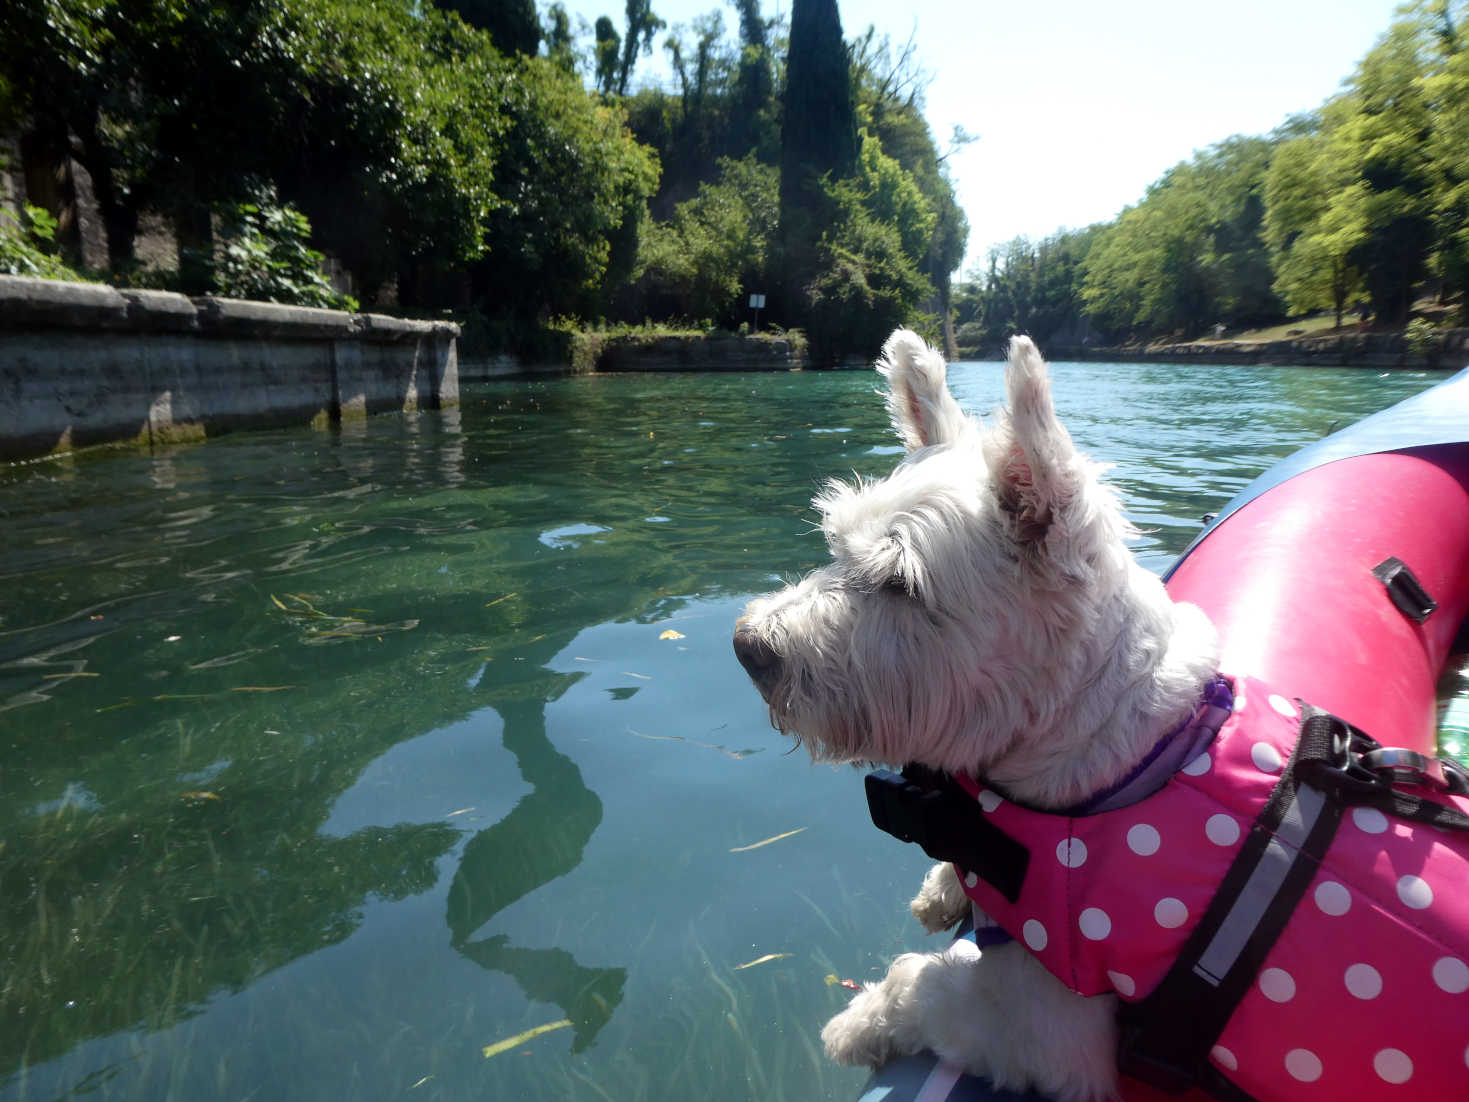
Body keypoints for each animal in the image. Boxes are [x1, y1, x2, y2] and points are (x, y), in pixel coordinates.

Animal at [728, 335, 1222, 1102]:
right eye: (836, 544)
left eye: (900, 583)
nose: (748, 646)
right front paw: (945, 889)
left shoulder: (1055, 1031)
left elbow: (924, 988)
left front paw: (855, 1025)